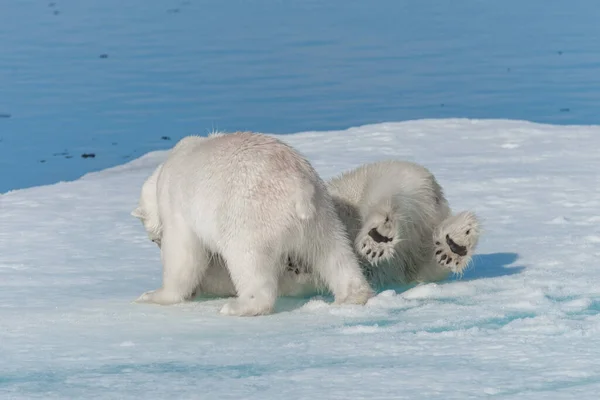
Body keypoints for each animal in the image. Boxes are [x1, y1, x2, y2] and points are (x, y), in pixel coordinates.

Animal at [132, 131, 370, 316]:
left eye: (154, 239)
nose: (156, 241)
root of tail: (298, 188)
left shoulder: (176, 204)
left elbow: (183, 255)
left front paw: (153, 295)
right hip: (322, 213)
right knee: (333, 252)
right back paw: (353, 295)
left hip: (248, 215)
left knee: (248, 259)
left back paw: (238, 306)